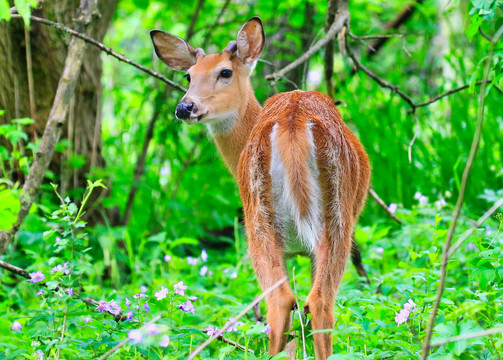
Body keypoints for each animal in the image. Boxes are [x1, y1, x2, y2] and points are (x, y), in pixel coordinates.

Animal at [150, 16, 370, 358]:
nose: (185, 107)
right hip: (328, 218)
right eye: (188, 75)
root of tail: (293, 119)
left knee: (284, 302)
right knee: (315, 302)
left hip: (261, 218)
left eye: (225, 72)